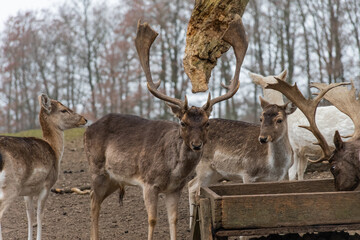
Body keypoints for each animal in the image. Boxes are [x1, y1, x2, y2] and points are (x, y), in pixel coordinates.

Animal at [0, 94, 87, 240]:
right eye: (63, 110)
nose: (84, 119)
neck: (55, 151)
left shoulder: (27, 192)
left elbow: (29, 215)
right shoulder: (47, 185)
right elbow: (40, 214)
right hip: (11, 187)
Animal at [84, 16, 248, 240]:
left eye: (207, 123)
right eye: (183, 122)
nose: (197, 145)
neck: (173, 171)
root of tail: (88, 128)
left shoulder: (174, 189)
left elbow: (174, 220)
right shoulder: (148, 183)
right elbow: (152, 220)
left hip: (114, 179)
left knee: (96, 199)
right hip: (97, 169)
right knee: (93, 201)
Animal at [187, 72, 296, 228]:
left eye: (279, 120)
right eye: (261, 118)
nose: (263, 138)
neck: (273, 166)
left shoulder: (280, 178)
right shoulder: (248, 173)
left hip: (216, 172)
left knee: (192, 185)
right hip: (204, 167)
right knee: (193, 187)